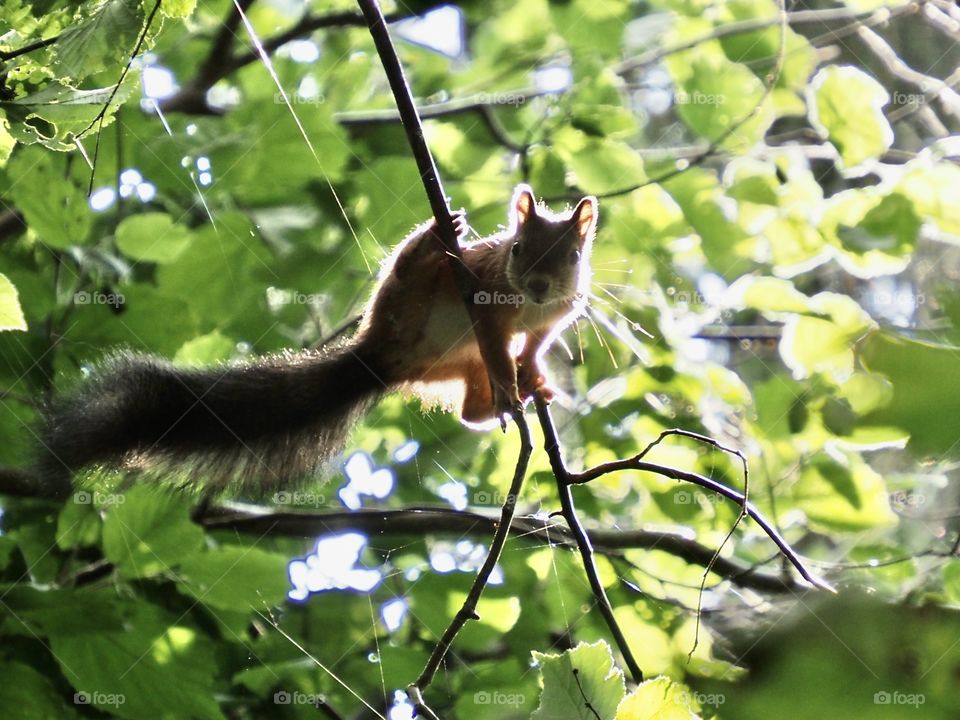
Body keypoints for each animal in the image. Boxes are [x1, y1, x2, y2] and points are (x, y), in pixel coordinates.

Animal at [37, 184, 597, 497]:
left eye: (573, 255)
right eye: (517, 248)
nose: (537, 285)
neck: (531, 305)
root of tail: (378, 359)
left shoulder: (555, 317)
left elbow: (533, 345)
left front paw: (533, 377)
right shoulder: (485, 295)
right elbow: (497, 344)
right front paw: (511, 382)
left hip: (455, 364)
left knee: (466, 409)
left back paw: (499, 401)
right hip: (403, 302)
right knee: (410, 274)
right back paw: (431, 244)